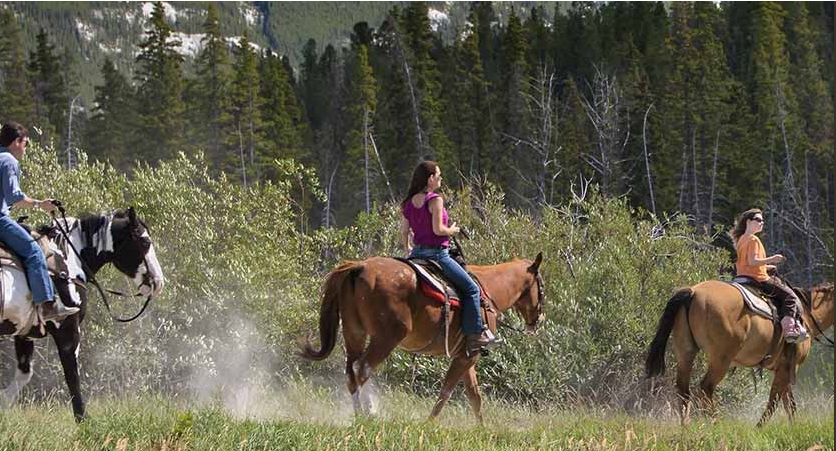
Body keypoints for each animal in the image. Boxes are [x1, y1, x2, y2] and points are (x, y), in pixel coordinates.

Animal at [0, 207, 162, 420]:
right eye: (145, 242)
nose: (158, 281)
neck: (68, 258)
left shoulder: (25, 333)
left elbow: (24, 373)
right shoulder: (69, 330)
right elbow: (73, 379)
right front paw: (83, 420)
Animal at [298, 252, 544, 422]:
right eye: (541, 287)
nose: (539, 320)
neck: (489, 291)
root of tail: (359, 267)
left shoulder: (466, 355)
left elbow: (474, 396)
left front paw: (482, 429)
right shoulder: (467, 357)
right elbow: (446, 392)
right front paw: (429, 424)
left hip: (354, 333)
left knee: (351, 373)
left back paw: (362, 415)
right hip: (385, 339)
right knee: (362, 369)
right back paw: (368, 415)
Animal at [648, 280, 828, 426]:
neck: (807, 316)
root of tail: (693, 292)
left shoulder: (782, 369)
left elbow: (788, 403)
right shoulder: (789, 367)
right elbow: (775, 401)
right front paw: (759, 428)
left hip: (685, 352)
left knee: (683, 391)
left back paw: (685, 426)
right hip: (721, 360)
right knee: (705, 389)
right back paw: (717, 424)